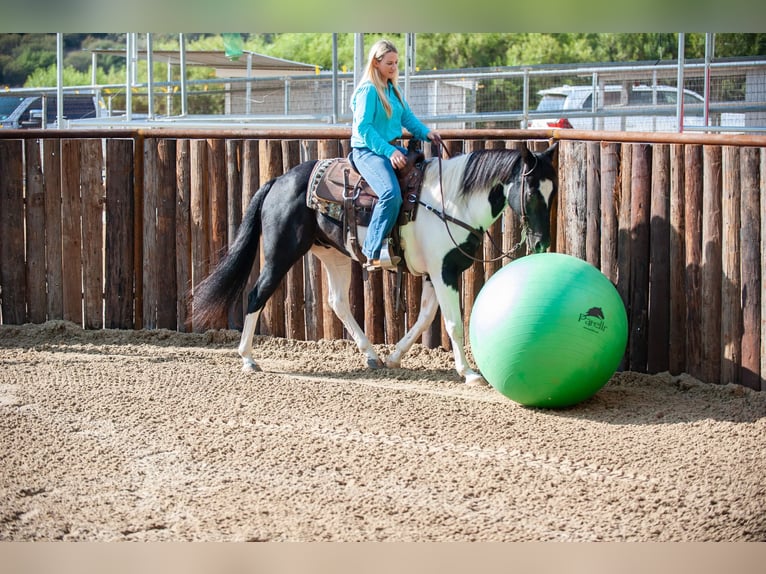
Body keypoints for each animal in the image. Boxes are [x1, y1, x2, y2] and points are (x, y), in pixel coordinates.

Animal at [195, 140, 560, 388]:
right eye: (530, 190)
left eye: (553, 191)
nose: (541, 243)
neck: (452, 202)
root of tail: (278, 181)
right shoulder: (444, 272)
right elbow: (453, 322)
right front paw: (469, 373)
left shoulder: (436, 273)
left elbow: (425, 318)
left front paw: (395, 357)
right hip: (280, 254)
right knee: (257, 294)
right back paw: (248, 358)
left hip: (333, 255)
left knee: (337, 302)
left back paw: (371, 354)